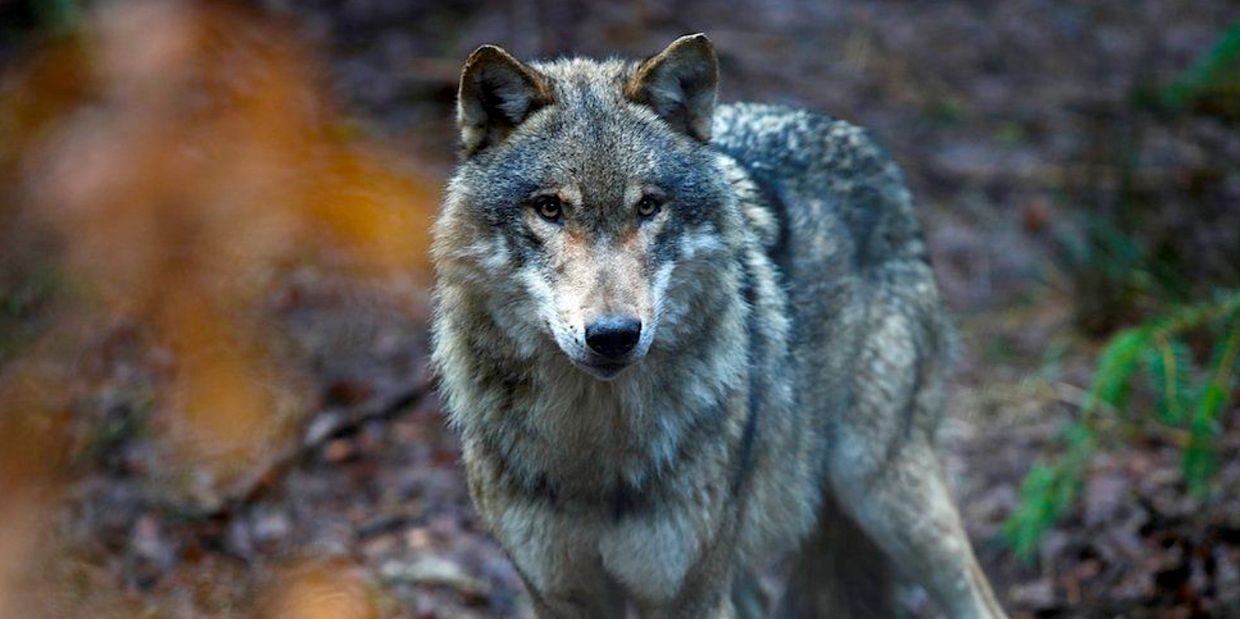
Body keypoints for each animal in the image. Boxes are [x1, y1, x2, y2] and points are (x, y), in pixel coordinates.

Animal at [430, 33, 1008, 618]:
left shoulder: (689, 593)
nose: (614, 335)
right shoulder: (560, 594)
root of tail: (860, 138)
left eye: (648, 207)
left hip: (884, 490)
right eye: (549, 209)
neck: (593, 448)